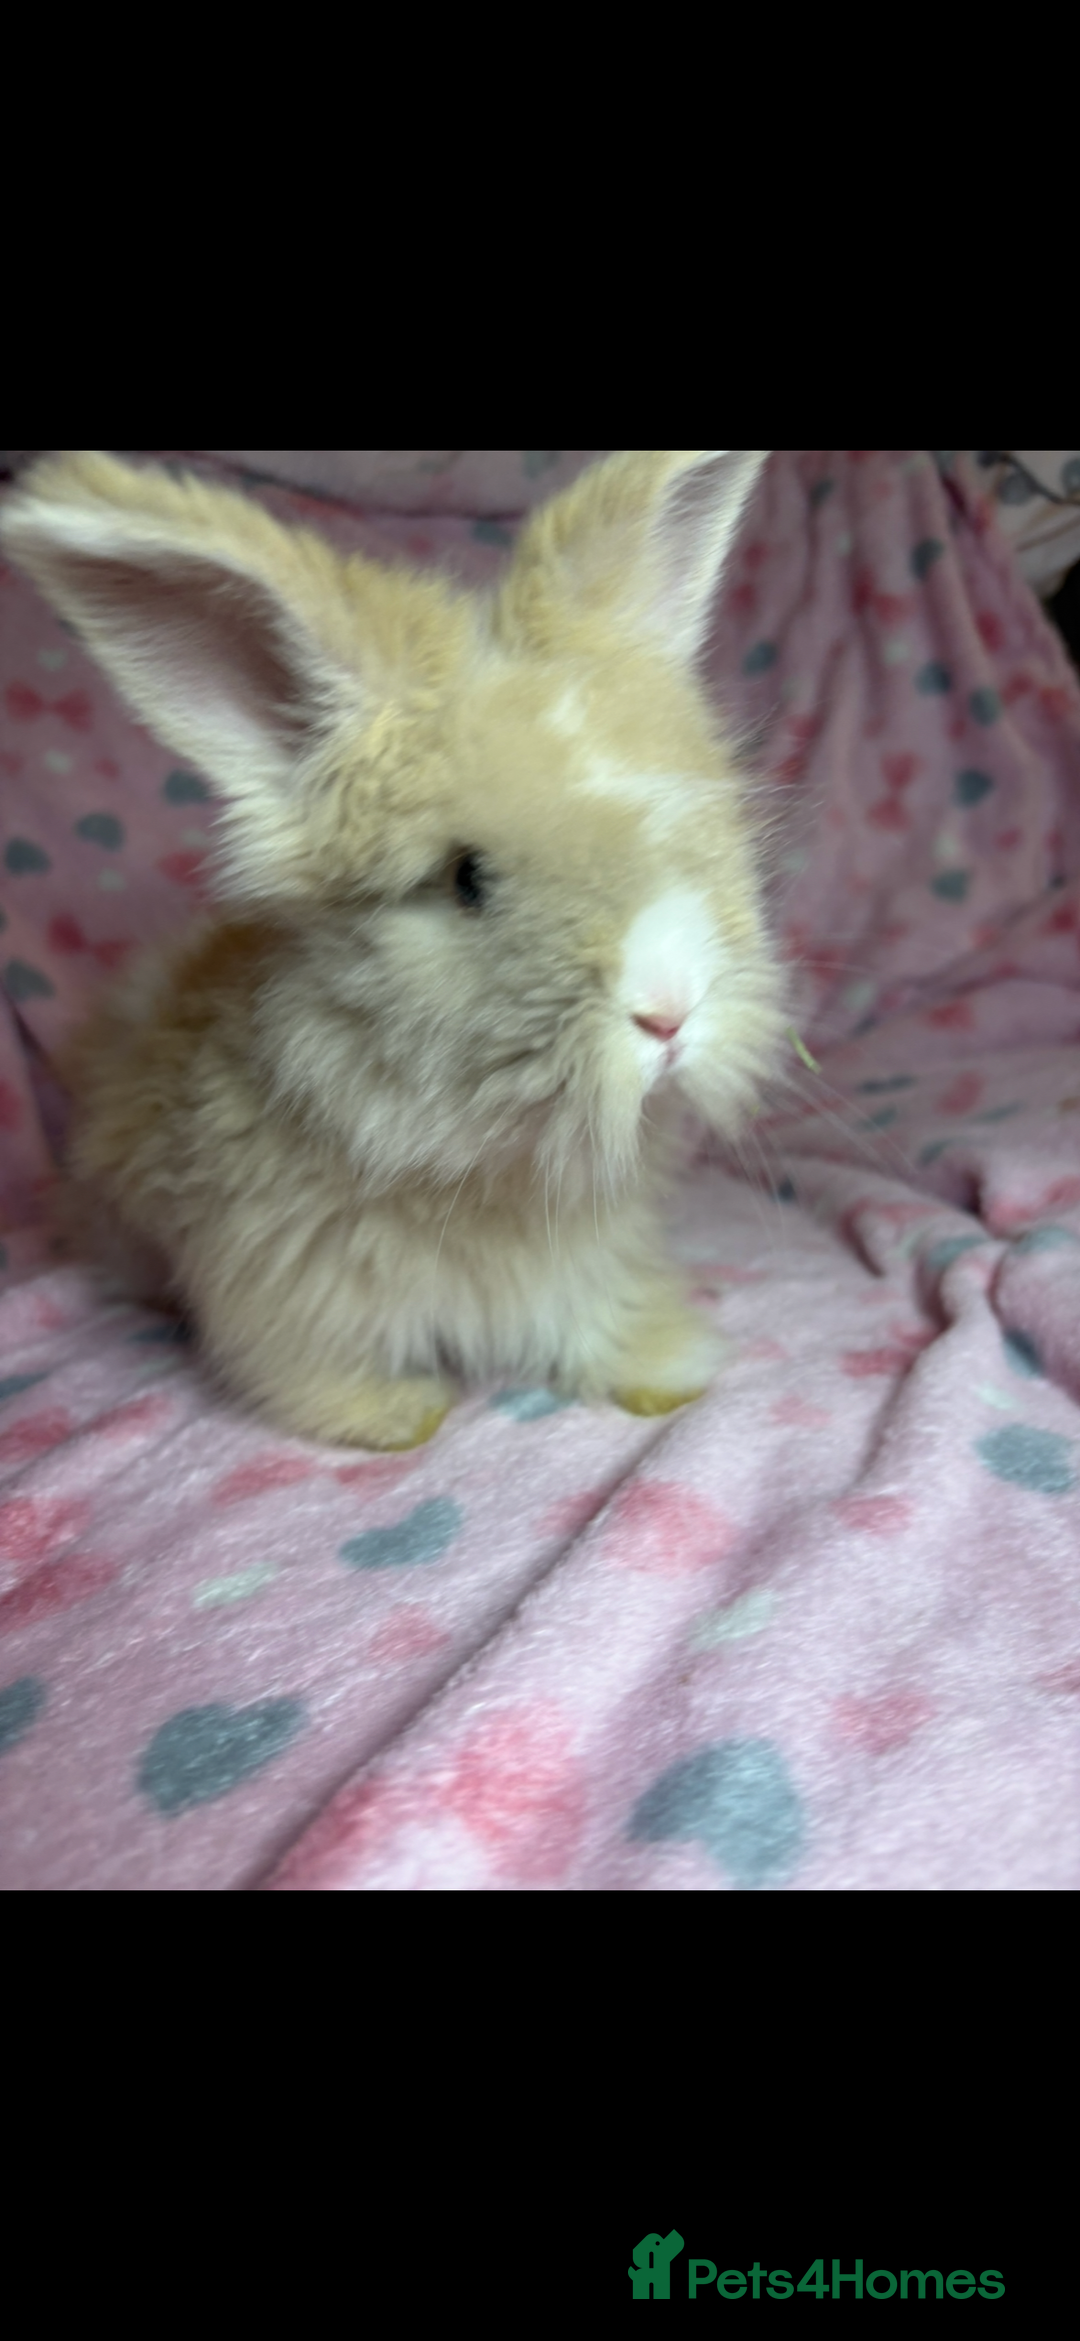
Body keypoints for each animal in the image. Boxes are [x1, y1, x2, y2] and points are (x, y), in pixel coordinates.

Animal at [0, 449, 788, 1450]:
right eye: (465, 878)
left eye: (687, 824)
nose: (670, 1011)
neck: (496, 1163)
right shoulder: (283, 1282)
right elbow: (309, 1365)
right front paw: (393, 1417)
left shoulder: (591, 1262)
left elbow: (600, 1317)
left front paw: (665, 1372)